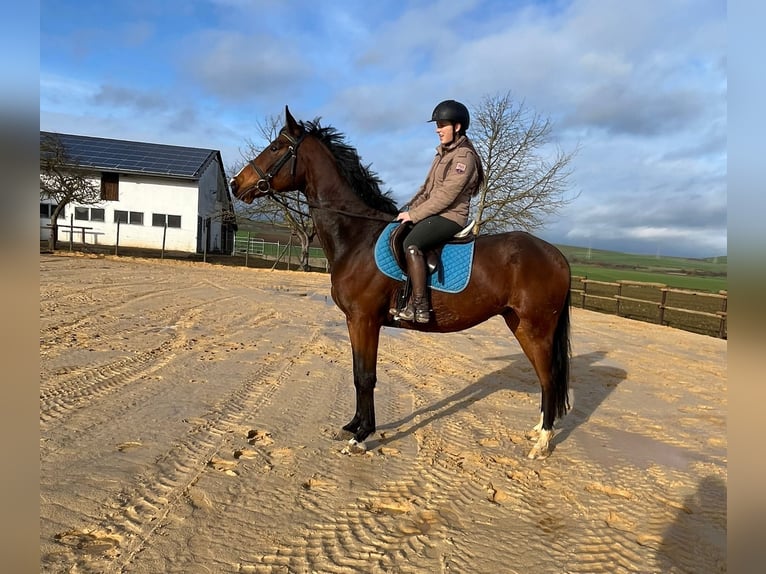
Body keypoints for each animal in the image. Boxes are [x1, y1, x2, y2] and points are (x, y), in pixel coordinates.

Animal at [231, 106, 572, 462]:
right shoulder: (355, 322)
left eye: (275, 148)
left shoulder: (364, 320)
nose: (235, 183)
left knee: (549, 377)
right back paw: (538, 429)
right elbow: (358, 374)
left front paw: (362, 436)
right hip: (519, 324)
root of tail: (556, 255)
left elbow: (366, 377)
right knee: (545, 377)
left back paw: (542, 442)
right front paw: (353, 426)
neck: (357, 238)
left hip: (536, 329)